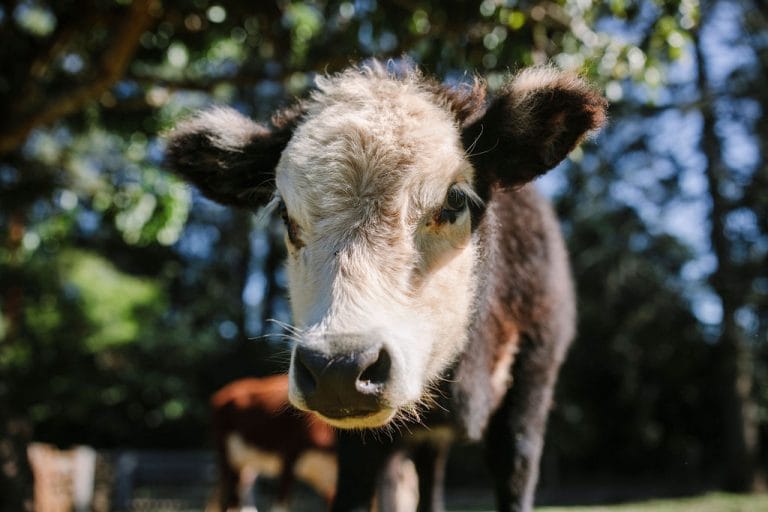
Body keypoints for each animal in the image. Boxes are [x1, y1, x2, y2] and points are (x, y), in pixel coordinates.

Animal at [210, 375, 336, 511]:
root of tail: (222, 394)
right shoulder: (289, 458)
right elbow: (280, 506)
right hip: (228, 457)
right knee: (231, 498)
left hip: (247, 462)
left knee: (245, 485)